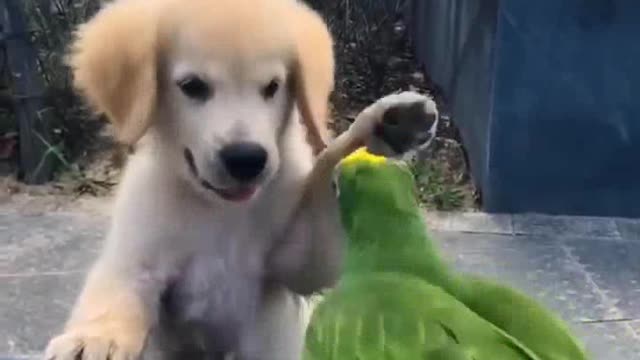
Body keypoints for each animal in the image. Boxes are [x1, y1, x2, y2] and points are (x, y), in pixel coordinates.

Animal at [43, 0, 436, 358]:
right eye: (192, 86)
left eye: (273, 86)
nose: (246, 159)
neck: (221, 211)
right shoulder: (136, 260)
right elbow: (114, 295)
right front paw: (94, 338)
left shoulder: (297, 264)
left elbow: (327, 164)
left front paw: (381, 125)